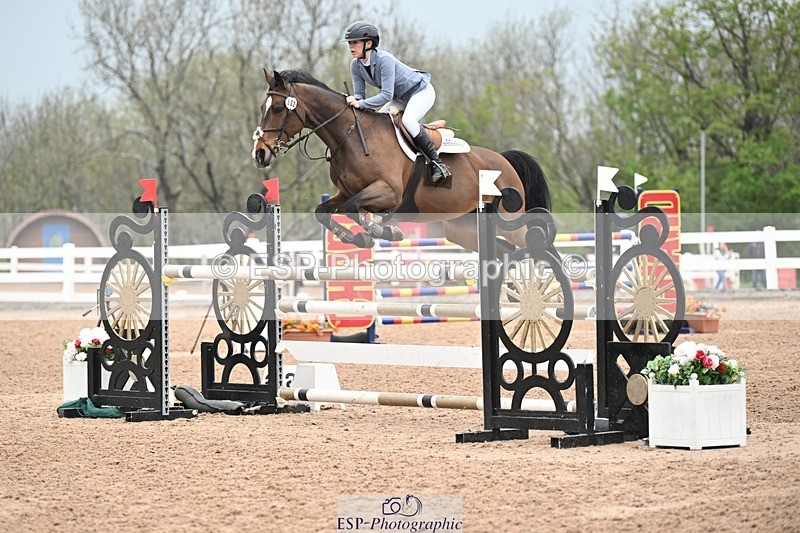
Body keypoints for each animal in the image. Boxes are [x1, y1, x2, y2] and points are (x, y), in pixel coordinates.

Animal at [251, 69, 550, 252]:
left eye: (277, 108)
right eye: (262, 107)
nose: (259, 153)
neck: (350, 136)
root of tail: (505, 160)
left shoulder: (389, 192)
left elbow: (354, 208)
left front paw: (384, 232)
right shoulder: (344, 192)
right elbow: (323, 211)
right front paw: (356, 237)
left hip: (510, 219)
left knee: (533, 245)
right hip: (463, 228)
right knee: (503, 251)